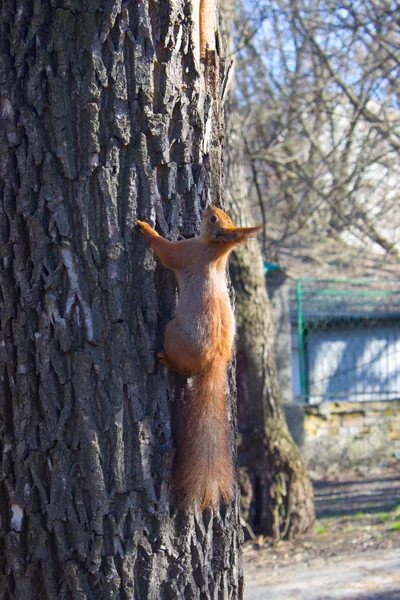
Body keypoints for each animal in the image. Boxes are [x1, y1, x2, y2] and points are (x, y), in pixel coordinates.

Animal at [138, 206, 262, 510]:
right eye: (221, 215)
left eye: (214, 219)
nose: (209, 207)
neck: (215, 252)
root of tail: (215, 362)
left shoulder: (186, 253)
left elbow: (165, 252)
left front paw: (146, 228)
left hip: (172, 333)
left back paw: (166, 359)